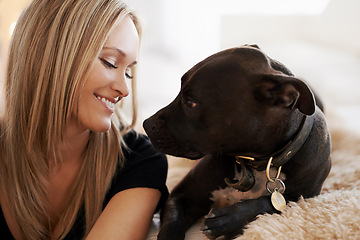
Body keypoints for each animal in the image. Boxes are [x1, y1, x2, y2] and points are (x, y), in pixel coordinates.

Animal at [143, 44, 332, 239]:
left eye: (190, 102)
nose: (146, 125)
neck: (256, 163)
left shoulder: (305, 197)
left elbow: (272, 202)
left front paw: (229, 219)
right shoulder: (180, 197)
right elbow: (170, 228)